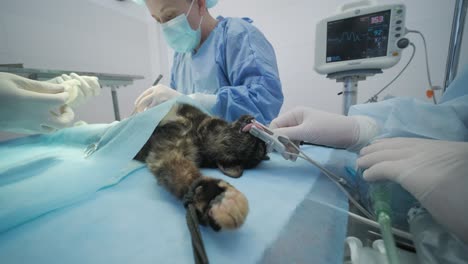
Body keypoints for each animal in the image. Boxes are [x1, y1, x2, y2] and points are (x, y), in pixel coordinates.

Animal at [135, 103, 266, 231]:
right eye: (260, 145)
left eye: (255, 146)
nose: (252, 118)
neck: (197, 130)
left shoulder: (167, 151)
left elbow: (183, 174)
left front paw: (210, 197)